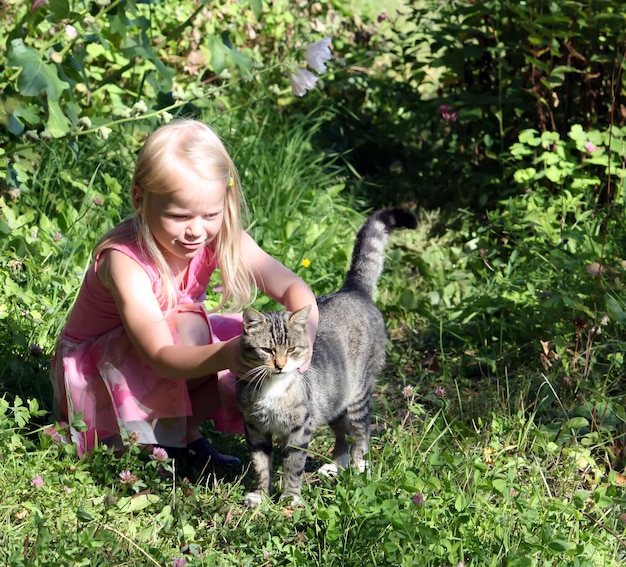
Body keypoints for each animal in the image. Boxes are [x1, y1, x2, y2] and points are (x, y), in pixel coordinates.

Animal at [234, 206, 414, 508]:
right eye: (268, 350)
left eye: (292, 350)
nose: (280, 365)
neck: (273, 387)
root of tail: (352, 289)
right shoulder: (255, 428)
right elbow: (260, 465)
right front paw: (261, 496)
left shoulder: (299, 427)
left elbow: (293, 463)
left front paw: (290, 498)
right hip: (334, 399)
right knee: (342, 433)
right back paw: (336, 466)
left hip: (357, 394)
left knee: (361, 432)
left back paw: (360, 468)